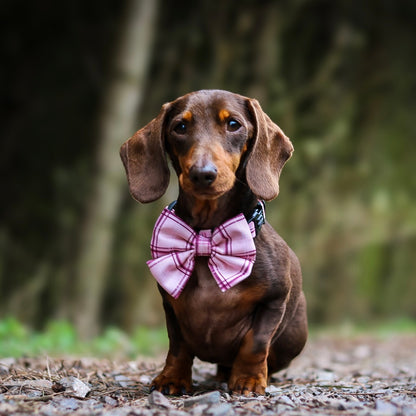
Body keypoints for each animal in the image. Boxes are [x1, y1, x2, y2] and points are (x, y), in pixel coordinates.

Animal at [118, 89, 308, 394]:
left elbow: (255, 343)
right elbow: (178, 346)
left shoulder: (274, 301)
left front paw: (249, 380)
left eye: (233, 124)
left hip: (294, 337)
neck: (206, 236)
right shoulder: (171, 305)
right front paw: (172, 378)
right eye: (180, 127)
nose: (202, 174)